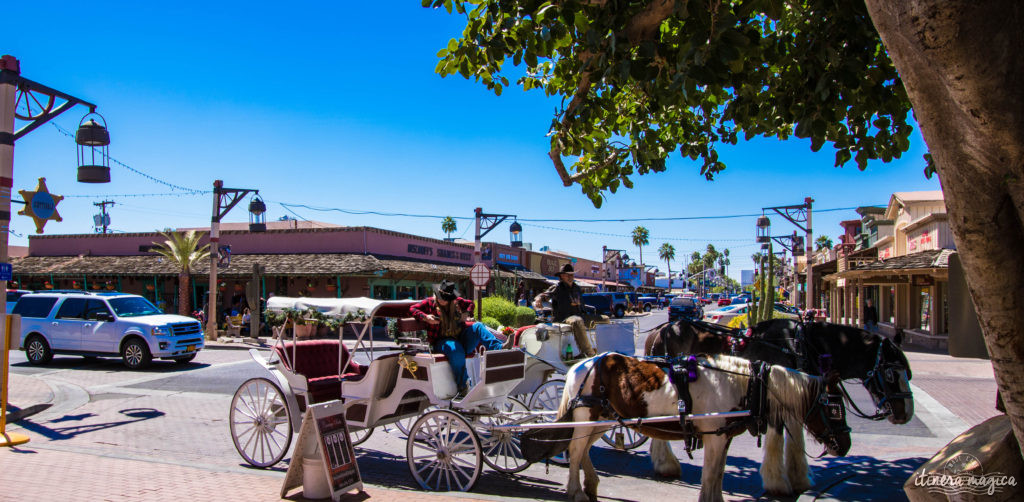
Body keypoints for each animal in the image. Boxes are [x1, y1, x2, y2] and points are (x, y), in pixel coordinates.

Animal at [520, 352, 847, 501]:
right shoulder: (714, 437)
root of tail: (580, 364)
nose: (844, 446)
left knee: (583, 450)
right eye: (833, 408)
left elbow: (718, 473)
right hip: (587, 416)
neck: (740, 385)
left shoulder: (722, 437)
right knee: (575, 452)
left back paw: (590, 486)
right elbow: (711, 474)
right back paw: (576, 492)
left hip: (601, 420)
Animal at [647, 317, 913, 493]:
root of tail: (660, 329)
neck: (802, 346)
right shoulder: (773, 394)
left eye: (907, 373)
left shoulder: (796, 392)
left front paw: (799, 478)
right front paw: (778, 482)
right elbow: (777, 435)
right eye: (891, 373)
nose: (906, 414)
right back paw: (666, 463)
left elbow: (795, 433)